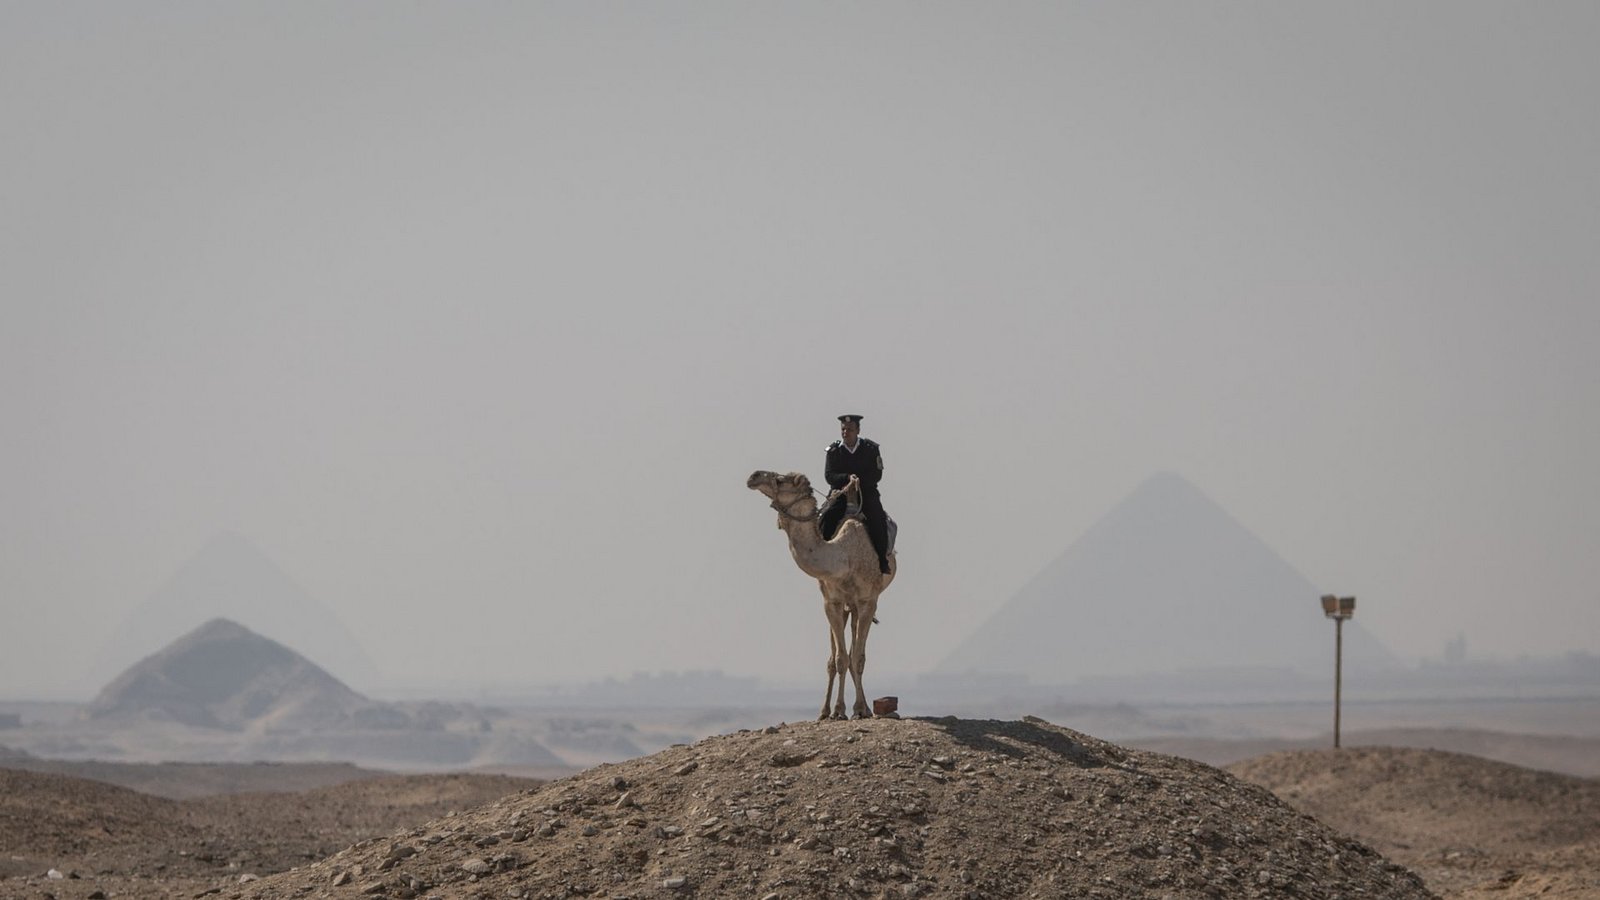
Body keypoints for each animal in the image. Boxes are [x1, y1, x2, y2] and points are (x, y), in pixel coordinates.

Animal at [747, 470, 896, 720]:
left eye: (780, 480)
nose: (753, 477)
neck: (843, 557)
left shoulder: (868, 600)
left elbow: (857, 657)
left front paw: (857, 709)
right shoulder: (831, 602)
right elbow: (839, 659)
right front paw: (836, 711)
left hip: (859, 604)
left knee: (855, 650)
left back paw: (864, 707)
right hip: (844, 606)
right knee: (838, 656)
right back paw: (828, 710)